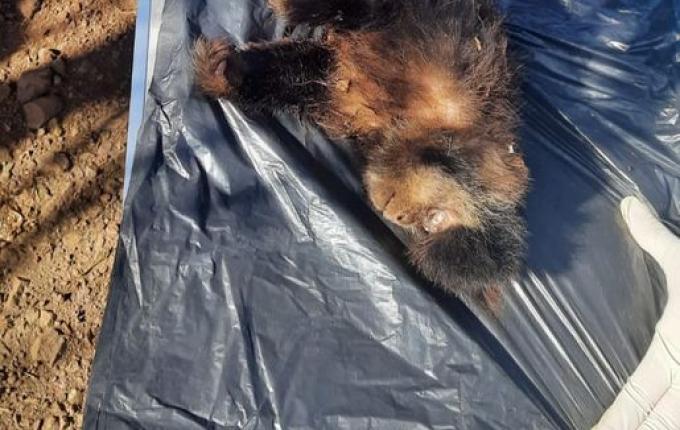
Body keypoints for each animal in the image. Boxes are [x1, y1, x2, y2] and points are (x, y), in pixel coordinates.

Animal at [193, 0, 529, 307]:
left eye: (428, 225)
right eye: (434, 215)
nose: (394, 216)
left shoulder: (340, 84)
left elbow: (287, 73)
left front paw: (227, 73)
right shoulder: (427, 27)